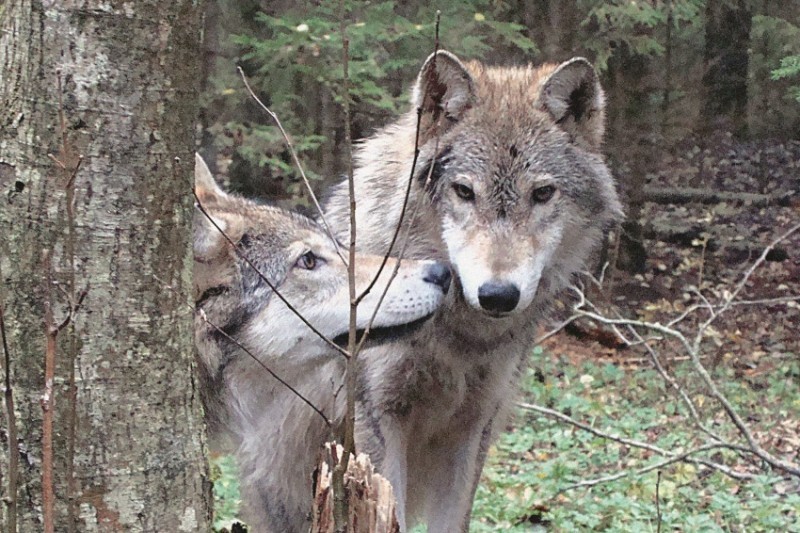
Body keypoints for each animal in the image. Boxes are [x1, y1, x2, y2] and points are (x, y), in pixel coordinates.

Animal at [322, 48, 628, 528]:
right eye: (464, 191)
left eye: (542, 194)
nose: (498, 294)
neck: (460, 336)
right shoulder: (377, 421)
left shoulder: (474, 428)